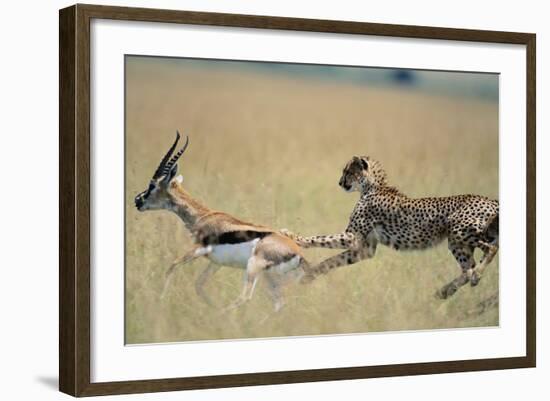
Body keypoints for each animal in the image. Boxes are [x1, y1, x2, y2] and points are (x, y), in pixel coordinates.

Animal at [282, 155, 502, 296]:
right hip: (457, 242)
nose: (340, 183)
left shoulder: (353, 237)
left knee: (490, 249)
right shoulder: (364, 248)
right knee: (467, 269)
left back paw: (475, 275)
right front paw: (309, 275)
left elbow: (320, 238)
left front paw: (292, 237)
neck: (372, 187)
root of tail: (491, 200)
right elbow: (332, 261)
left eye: (348, 172)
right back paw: (445, 291)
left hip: (459, 230)